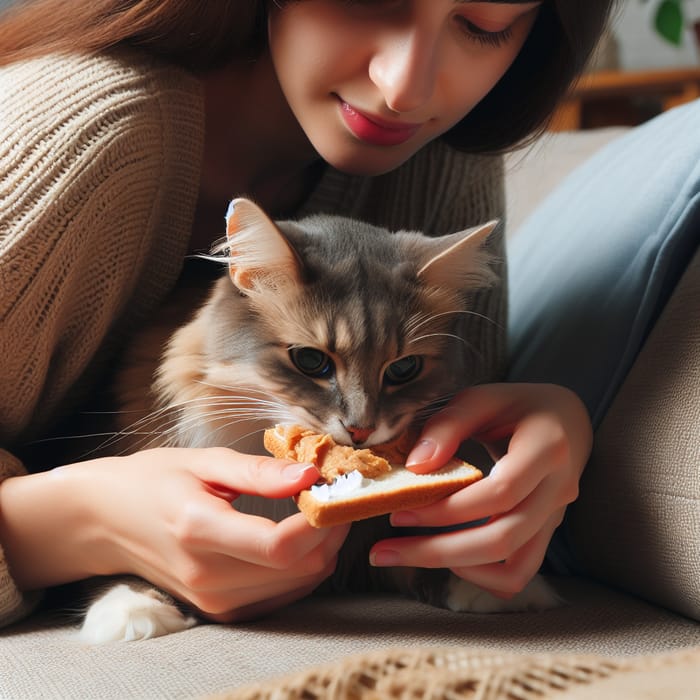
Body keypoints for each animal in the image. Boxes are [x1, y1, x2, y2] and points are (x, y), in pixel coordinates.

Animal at [78, 198, 556, 644]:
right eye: (310, 361)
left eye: (404, 369)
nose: (361, 429)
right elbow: (128, 556)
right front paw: (129, 609)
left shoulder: (371, 540)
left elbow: (414, 554)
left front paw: (493, 585)